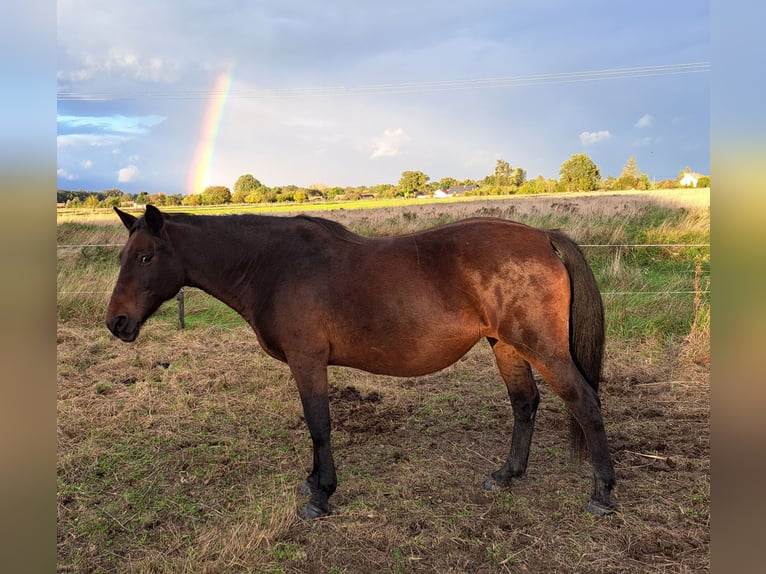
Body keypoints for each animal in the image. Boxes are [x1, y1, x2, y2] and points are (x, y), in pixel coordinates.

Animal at [105, 205, 616, 520]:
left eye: (146, 256)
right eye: (124, 255)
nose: (117, 322)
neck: (274, 265)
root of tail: (542, 237)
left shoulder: (307, 362)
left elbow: (319, 425)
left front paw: (321, 495)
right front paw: (313, 482)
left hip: (542, 349)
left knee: (586, 403)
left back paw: (603, 493)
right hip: (505, 345)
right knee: (524, 403)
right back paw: (507, 474)